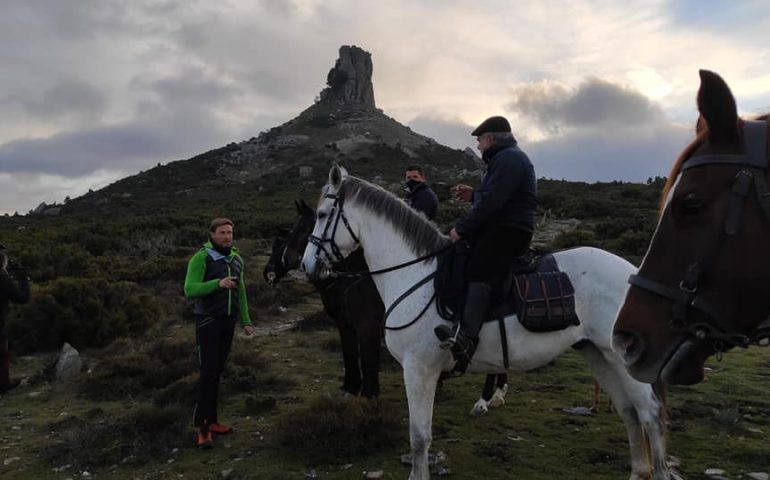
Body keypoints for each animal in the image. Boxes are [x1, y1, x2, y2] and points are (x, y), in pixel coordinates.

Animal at [300, 166, 664, 480]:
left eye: (321, 215)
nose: (307, 266)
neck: (416, 273)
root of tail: (632, 273)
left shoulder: (418, 369)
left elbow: (419, 437)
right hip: (597, 353)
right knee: (629, 412)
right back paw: (638, 471)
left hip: (620, 358)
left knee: (650, 414)